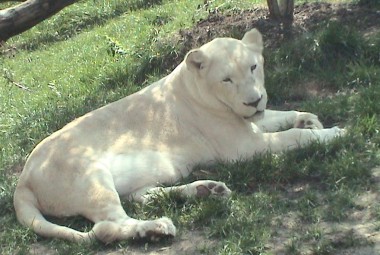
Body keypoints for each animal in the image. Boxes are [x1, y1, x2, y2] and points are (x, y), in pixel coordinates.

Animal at [13, 28, 342, 244]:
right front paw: (335, 132)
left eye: (253, 67)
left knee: (144, 197)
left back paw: (207, 190)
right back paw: (155, 228)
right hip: (92, 177)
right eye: (226, 79)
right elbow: (294, 138)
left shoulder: (253, 124)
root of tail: (23, 179)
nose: (253, 101)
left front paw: (309, 119)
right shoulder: (244, 146)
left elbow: (281, 116)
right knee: (108, 226)